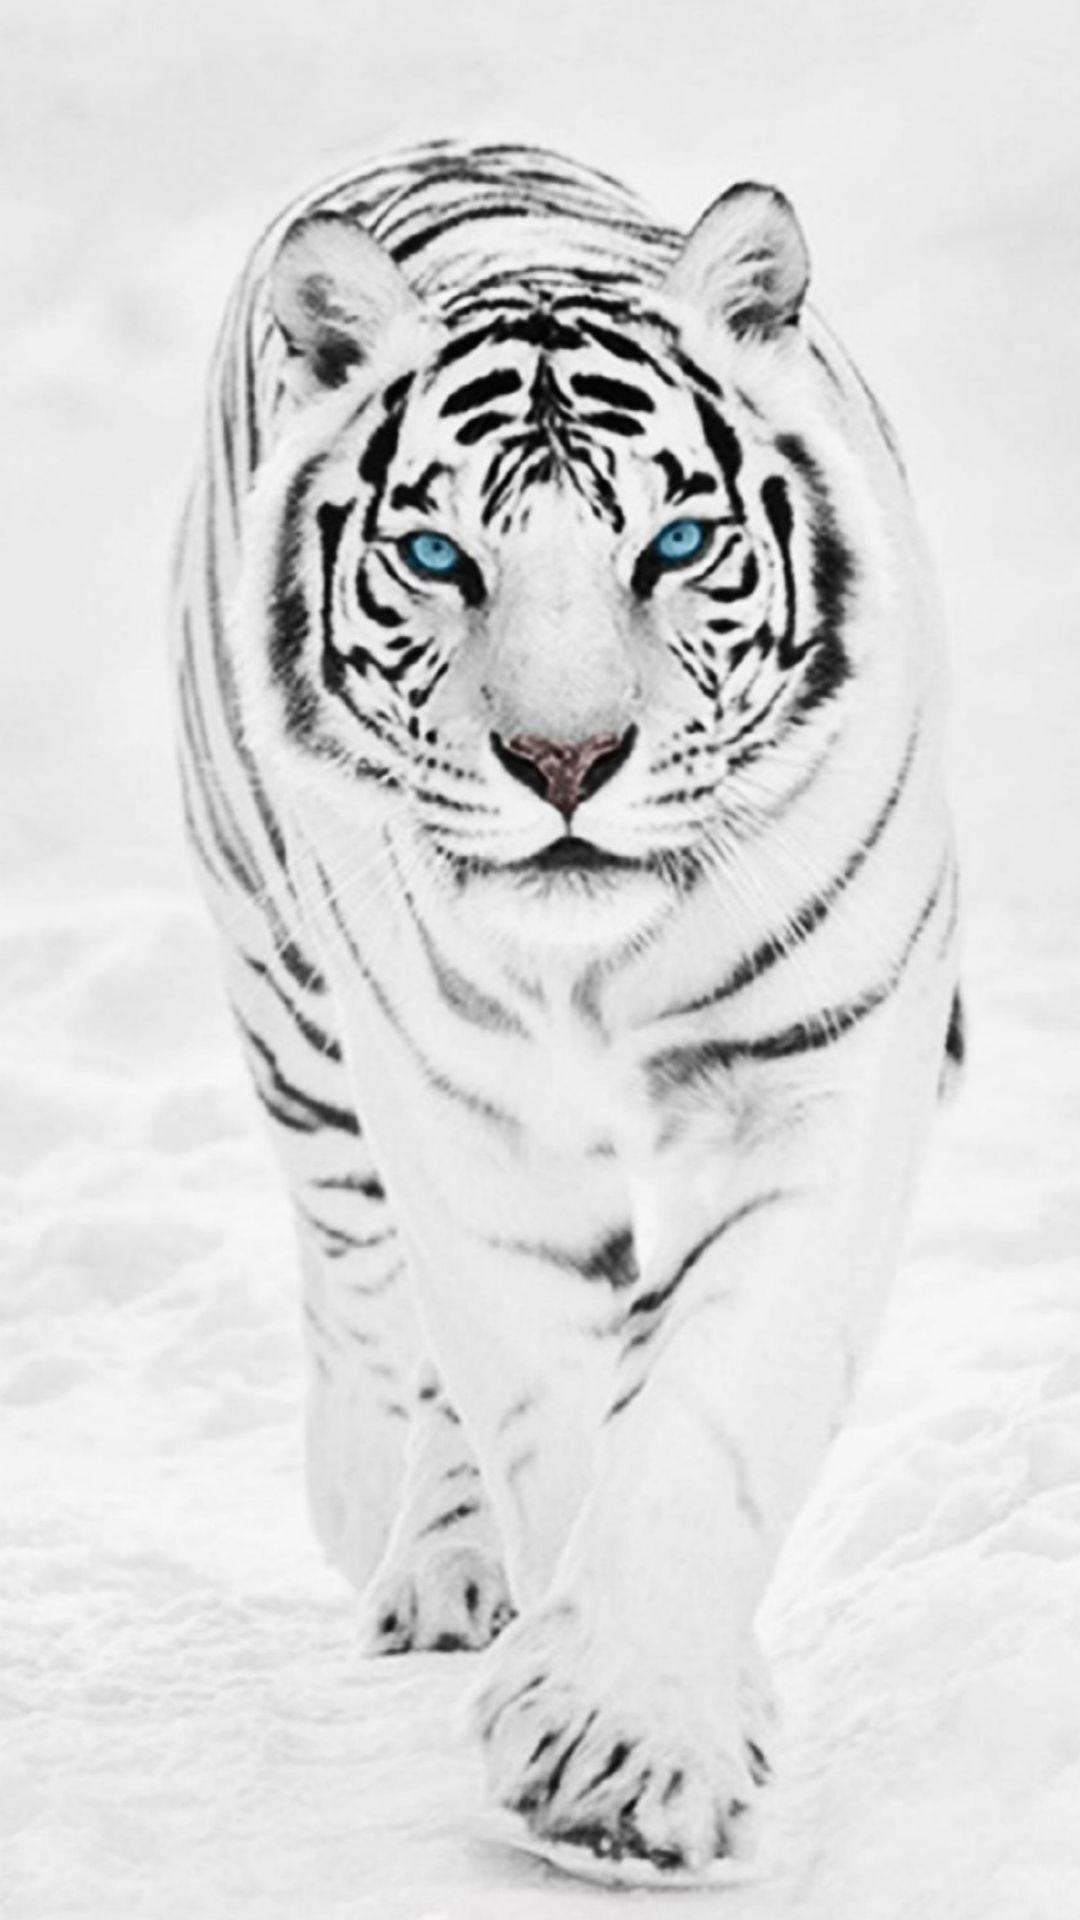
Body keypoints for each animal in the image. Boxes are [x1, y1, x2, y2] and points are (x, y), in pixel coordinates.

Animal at [172, 139, 961, 1884]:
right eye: (437, 559)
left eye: (673, 548)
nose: (564, 763)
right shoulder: (469, 1126)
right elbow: (541, 1395)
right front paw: (616, 1729)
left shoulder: (823, 1075)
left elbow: (713, 1404)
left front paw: (634, 1750)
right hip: (292, 1000)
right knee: (362, 1284)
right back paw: (396, 1530)